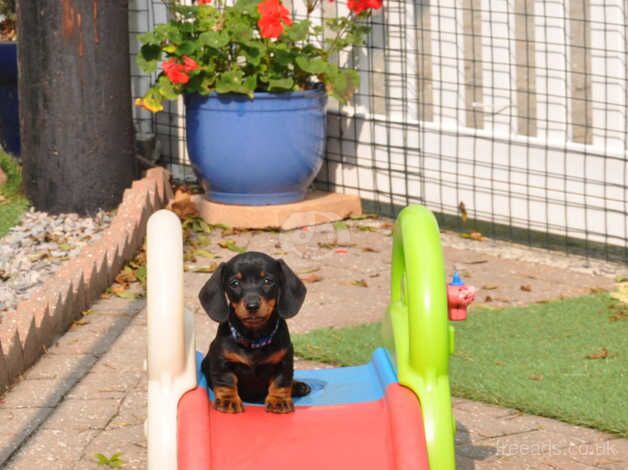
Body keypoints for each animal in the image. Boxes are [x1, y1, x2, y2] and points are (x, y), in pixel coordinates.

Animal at [200, 252, 310, 414]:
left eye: (267, 281)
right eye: (235, 283)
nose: (252, 306)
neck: (253, 339)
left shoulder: (284, 359)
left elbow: (281, 381)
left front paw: (279, 401)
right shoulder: (222, 360)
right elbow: (225, 381)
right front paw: (228, 400)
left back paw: (297, 386)